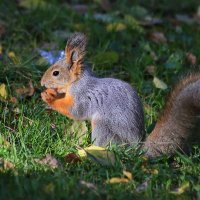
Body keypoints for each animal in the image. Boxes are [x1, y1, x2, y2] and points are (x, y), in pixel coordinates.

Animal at [41, 32, 200, 158]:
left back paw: (88, 149)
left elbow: (76, 111)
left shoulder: (82, 95)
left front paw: (49, 97)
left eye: (56, 73)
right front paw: (51, 93)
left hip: (103, 126)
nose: (42, 82)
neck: (78, 80)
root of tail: (136, 148)